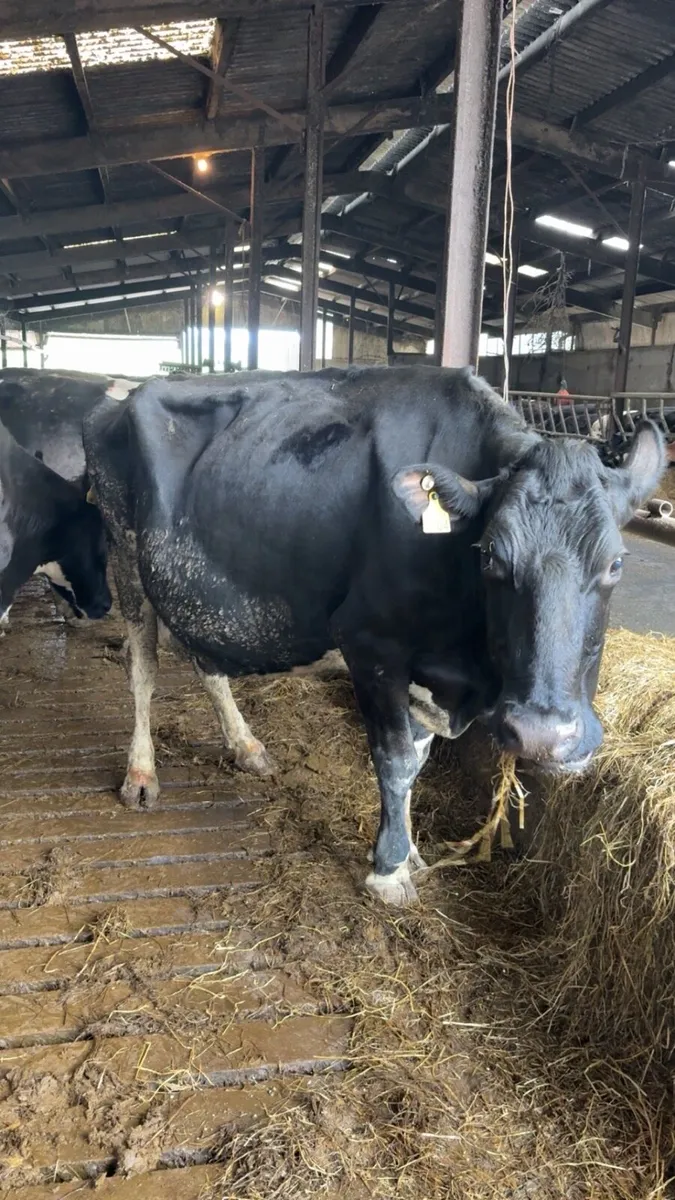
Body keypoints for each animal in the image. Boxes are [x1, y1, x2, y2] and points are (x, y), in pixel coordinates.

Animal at [82, 366, 664, 906]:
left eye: (615, 563)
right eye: (491, 558)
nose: (543, 736)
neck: (466, 669)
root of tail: (126, 394)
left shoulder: (429, 673)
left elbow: (420, 760)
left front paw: (412, 853)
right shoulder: (371, 646)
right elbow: (396, 759)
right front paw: (388, 870)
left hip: (197, 588)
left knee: (206, 662)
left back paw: (246, 746)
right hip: (125, 551)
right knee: (142, 668)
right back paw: (141, 773)